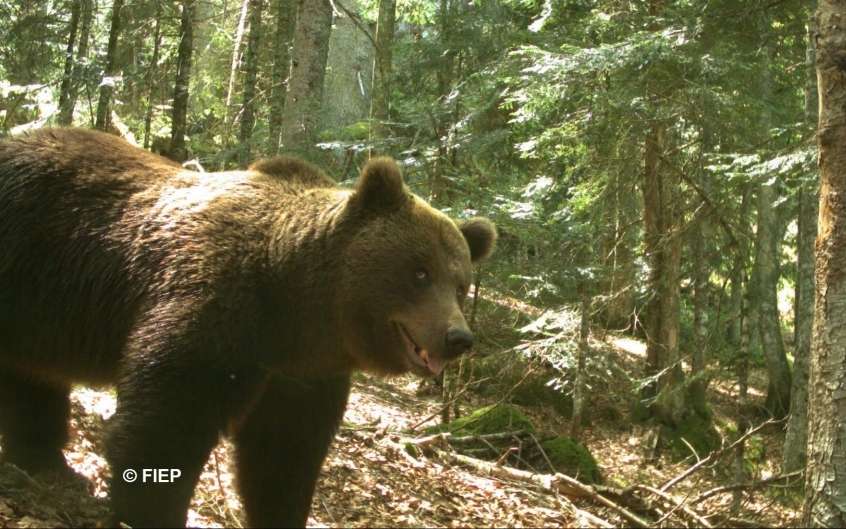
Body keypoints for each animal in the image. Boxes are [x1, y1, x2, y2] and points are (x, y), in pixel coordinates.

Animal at [0, 127, 496, 524]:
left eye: (461, 284)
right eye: (420, 272)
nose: (457, 337)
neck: (296, 306)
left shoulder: (301, 373)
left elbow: (282, 456)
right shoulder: (217, 310)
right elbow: (165, 426)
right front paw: (149, 511)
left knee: (31, 379)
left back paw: (43, 459)